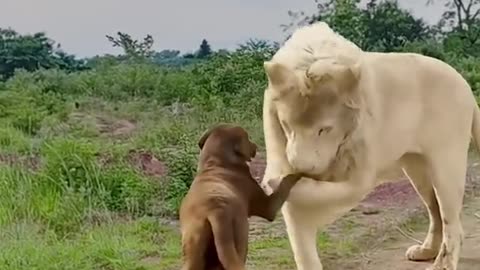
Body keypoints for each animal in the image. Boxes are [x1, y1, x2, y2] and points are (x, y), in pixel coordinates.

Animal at [178, 123, 302, 268]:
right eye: (247, 138)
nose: (255, 146)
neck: (216, 163)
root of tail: (216, 212)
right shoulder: (268, 207)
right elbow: (286, 181)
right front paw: (298, 173)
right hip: (241, 237)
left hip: (193, 244)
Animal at [262, 21, 480, 270]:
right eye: (286, 125)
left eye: (324, 129)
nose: (301, 166)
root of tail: (464, 84)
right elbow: (301, 242)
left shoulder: (360, 175)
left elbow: (318, 194)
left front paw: (277, 184)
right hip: (417, 168)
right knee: (434, 209)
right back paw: (425, 251)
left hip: (445, 164)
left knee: (451, 221)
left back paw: (442, 264)